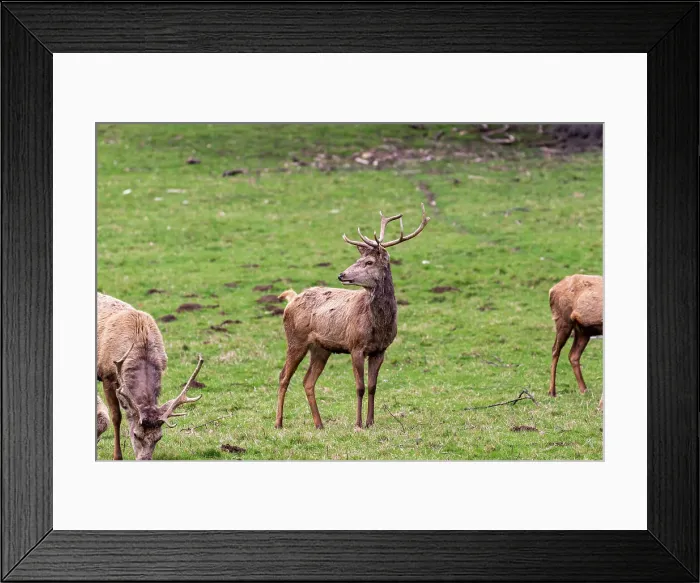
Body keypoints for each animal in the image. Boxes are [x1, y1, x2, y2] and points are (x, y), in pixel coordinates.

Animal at [97, 292, 203, 460]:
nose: (145, 459)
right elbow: (116, 416)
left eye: (159, 437)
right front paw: (117, 456)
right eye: (135, 434)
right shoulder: (106, 375)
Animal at [276, 204, 430, 430]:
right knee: (283, 376)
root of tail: (291, 299)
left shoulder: (380, 350)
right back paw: (278, 423)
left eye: (369, 261)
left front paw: (371, 422)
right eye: (358, 260)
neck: (378, 325)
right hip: (295, 339)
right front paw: (358, 423)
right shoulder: (355, 346)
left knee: (308, 381)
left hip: (321, 348)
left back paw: (319, 424)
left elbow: (373, 386)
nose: (342, 275)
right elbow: (360, 387)